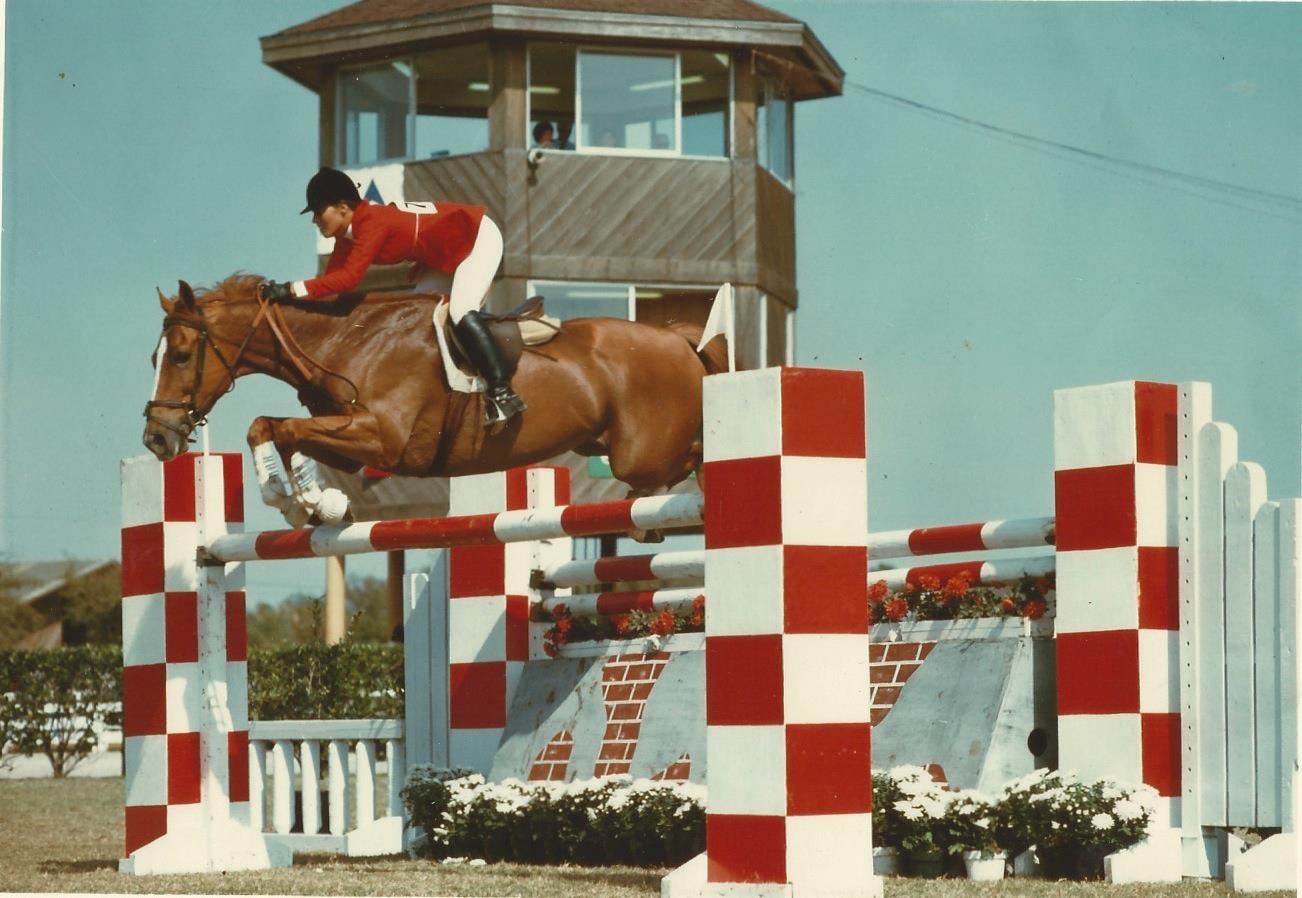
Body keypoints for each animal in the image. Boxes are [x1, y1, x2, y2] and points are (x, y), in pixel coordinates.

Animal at [143, 275, 734, 520]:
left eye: (180, 356)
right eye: (154, 358)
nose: (156, 439)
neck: (345, 338)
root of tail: (678, 337)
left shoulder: (384, 439)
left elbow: (272, 427)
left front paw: (298, 500)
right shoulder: (351, 443)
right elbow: (274, 428)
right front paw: (312, 503)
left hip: (642, 454)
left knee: (693, 458)